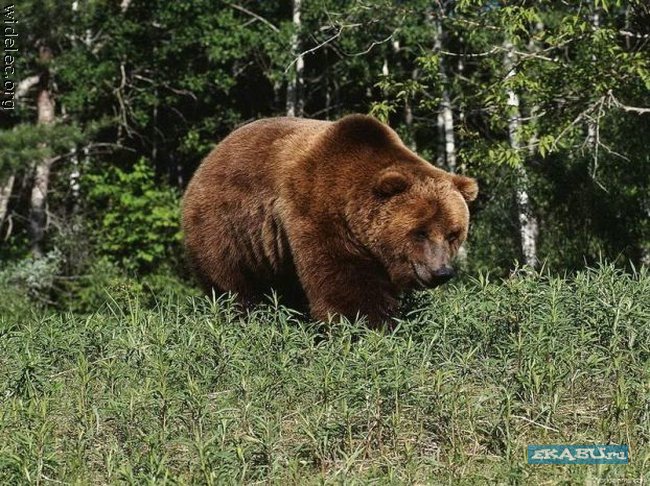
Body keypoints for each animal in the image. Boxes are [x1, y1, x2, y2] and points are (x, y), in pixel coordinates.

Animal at [181, 114, 478, 327]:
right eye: (420, 232)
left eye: (453, 234)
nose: (441, 272)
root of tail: (208, 158)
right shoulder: (317, 214)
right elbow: (345, 285)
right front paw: (368, 326)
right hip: (226, 228)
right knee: (232, 283)